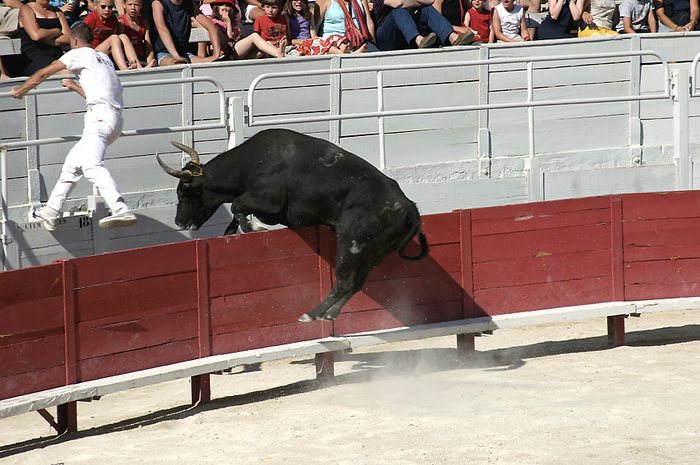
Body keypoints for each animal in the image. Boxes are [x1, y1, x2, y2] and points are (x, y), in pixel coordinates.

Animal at [159, 129, 430, 320]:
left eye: (183, 191)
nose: (179, 221)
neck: (254, 161)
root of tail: (408, 206)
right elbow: (236, 214)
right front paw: (233, 233)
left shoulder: (268, 202)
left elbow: (237, 206)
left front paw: (254, 229)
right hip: (371, 254)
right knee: (354, 284)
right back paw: (328, 314)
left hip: (351, 246)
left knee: (344, 282)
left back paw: (311, 314)